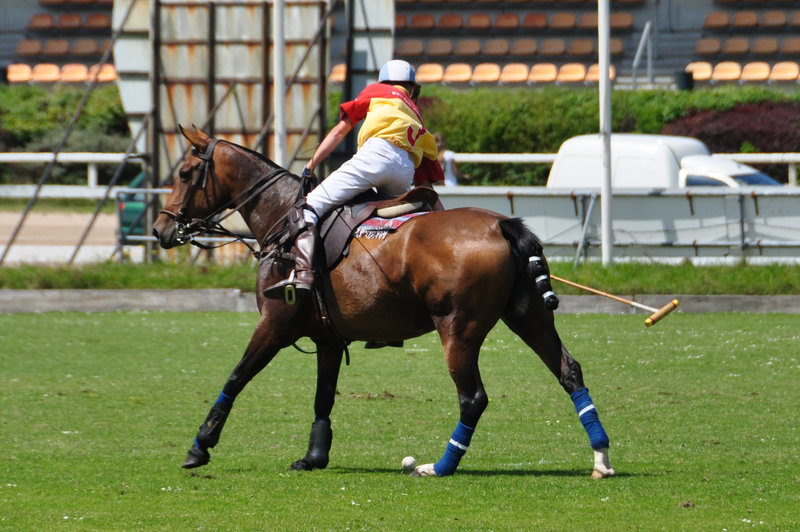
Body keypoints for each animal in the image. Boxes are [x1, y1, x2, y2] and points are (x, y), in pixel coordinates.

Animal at [155, 127, 620, 480]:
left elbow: (235, 379)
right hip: (528, 316)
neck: (281, 217)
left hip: (458, 328)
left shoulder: (275, 324)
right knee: (569, 371)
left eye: (185, 172)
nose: (161, 229)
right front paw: (313, 457)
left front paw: (199, 447)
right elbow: (323, 398)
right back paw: (601, 458)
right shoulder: (327, 337)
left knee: (473, 397)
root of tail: (504, 224)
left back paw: (440, 466)